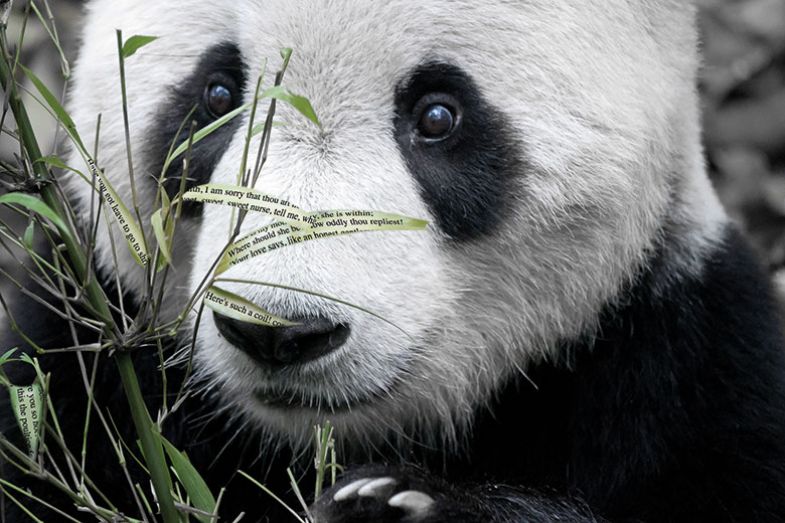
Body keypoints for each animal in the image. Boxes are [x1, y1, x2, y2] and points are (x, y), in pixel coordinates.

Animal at [3, 0, 785, 521]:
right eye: (218, 93)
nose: (278, 332)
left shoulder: (687, 364)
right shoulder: (74, 353)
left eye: (437, 115)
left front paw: (394, 504)